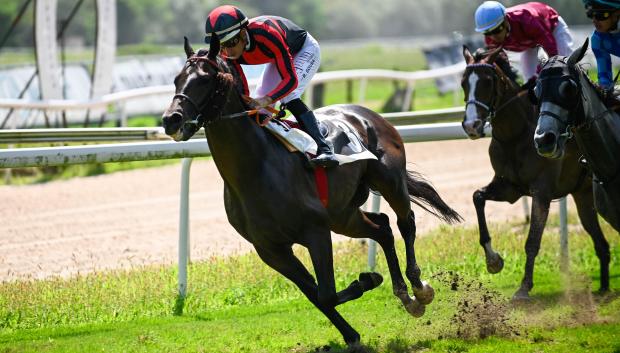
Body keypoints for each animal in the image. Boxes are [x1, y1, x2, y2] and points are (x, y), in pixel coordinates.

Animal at [162, 36, 462, 344]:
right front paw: (351, 334)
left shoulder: (315, 231)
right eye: (176, 79)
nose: (171, 119)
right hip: (343, 215)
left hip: (388, 182)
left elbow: (326, 293)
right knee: (382, 228)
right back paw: (405, 295)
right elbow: (317, 296)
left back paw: (419, 287)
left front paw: (367, 280)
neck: (254, 170)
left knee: (406, 223)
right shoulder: (270, 250)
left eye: (204, 80)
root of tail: (368, 113)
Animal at [460, 44, 612, 296]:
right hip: (584, 196)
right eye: (463, 82)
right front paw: (493, 261)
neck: (515, 135)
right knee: (601, 243)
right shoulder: (509, 187)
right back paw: (603, 289)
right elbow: (477, 197)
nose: (471, 125)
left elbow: (532, 240)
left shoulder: (542, 191)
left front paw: (524, 287)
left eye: (487, 82)